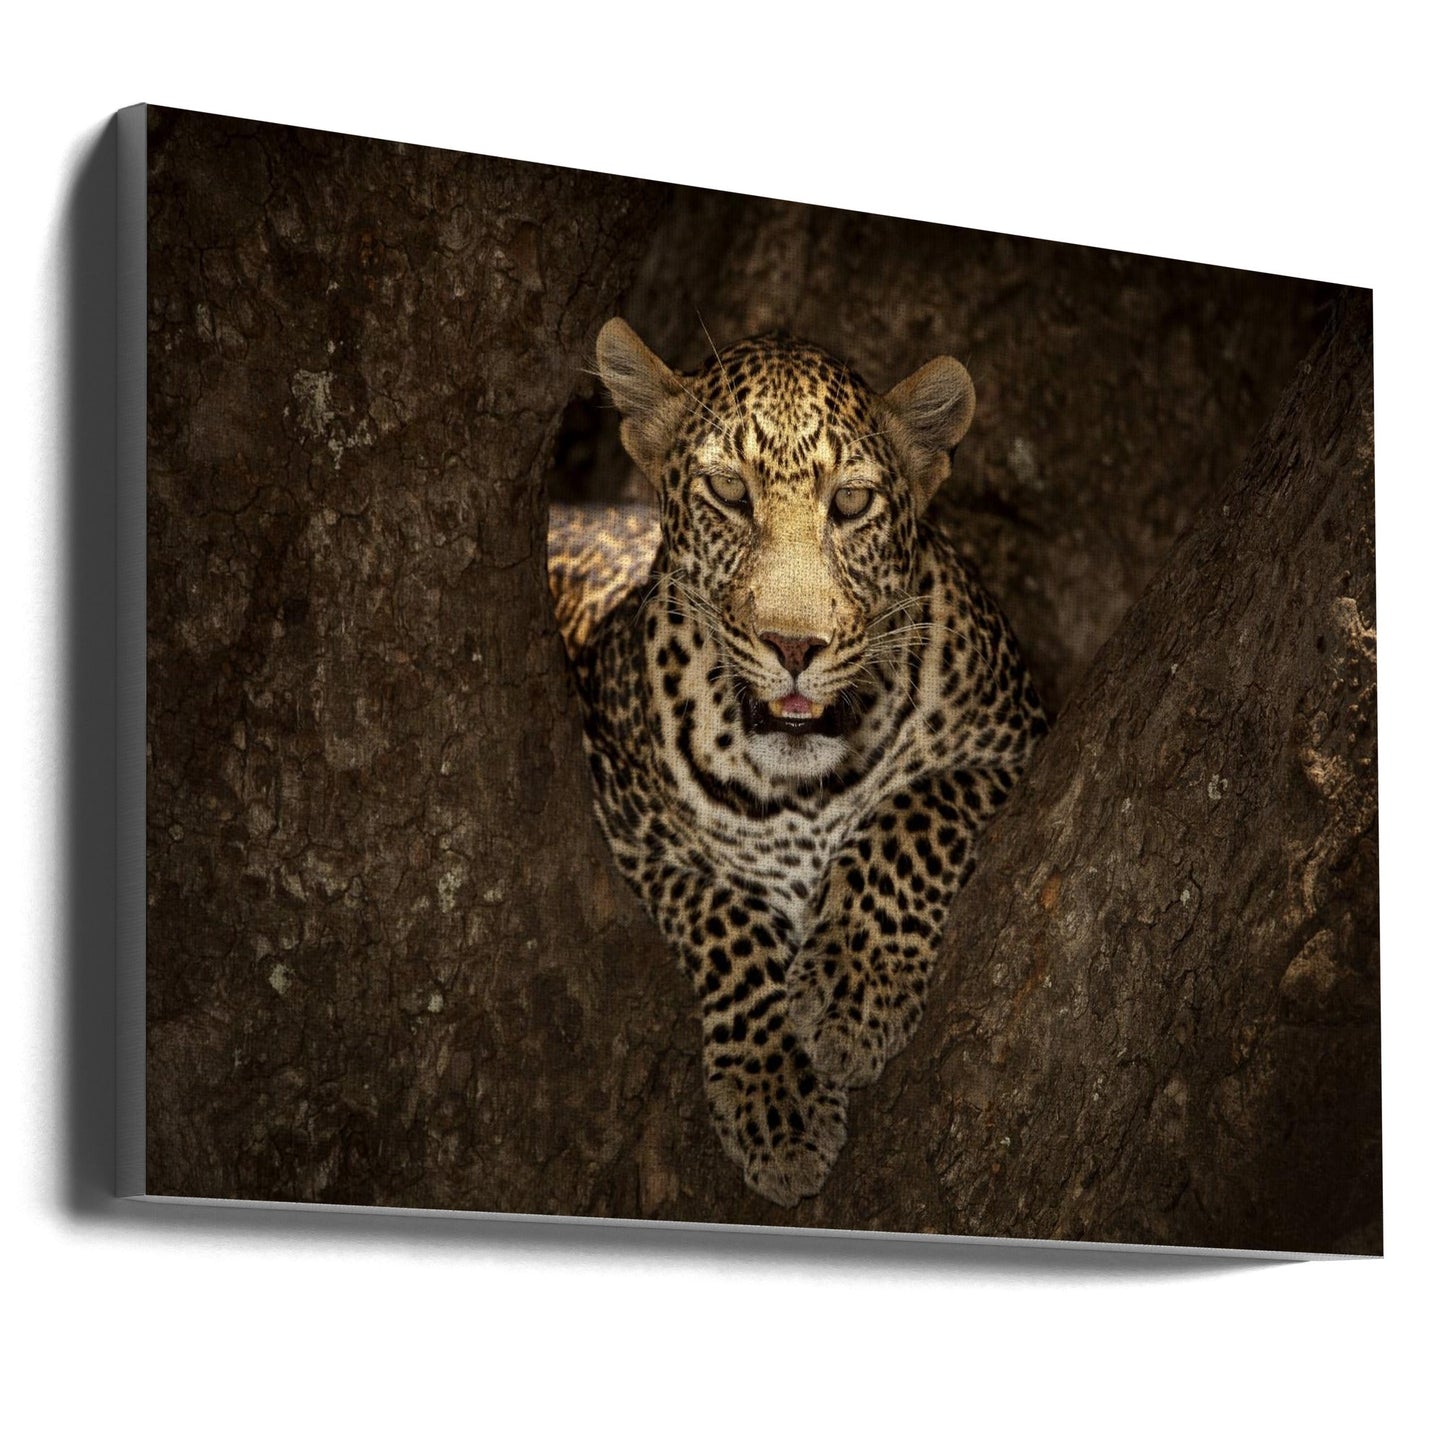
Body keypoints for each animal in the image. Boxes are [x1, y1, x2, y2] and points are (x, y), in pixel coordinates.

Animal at [548, 318, 1046, 1207]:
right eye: (728, 492)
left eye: (850, 502)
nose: (792, 646)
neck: (801, 787)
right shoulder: (631, 830)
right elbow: (726, 919)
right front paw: (776, 1099)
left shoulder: (1012, 742)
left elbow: (909, 814)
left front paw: (853, 993)